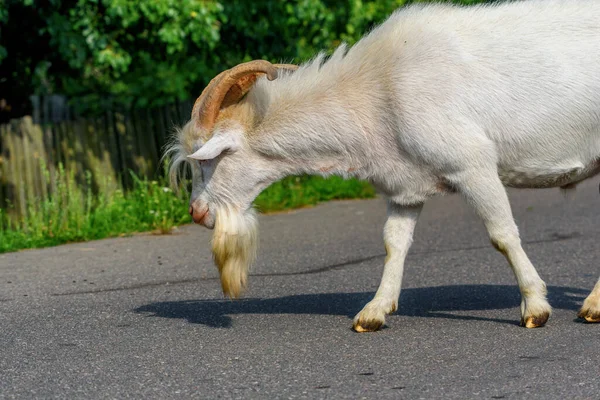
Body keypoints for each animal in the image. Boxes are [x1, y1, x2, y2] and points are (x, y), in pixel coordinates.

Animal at [166, 0, 600, 332]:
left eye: (210, 158)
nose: (196, 213)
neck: (377, 86)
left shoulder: (472, 164)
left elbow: (502, 235)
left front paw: (534, 307)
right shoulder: (405, 184)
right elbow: (395, 243)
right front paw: (374, 311)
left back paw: (591, 306)